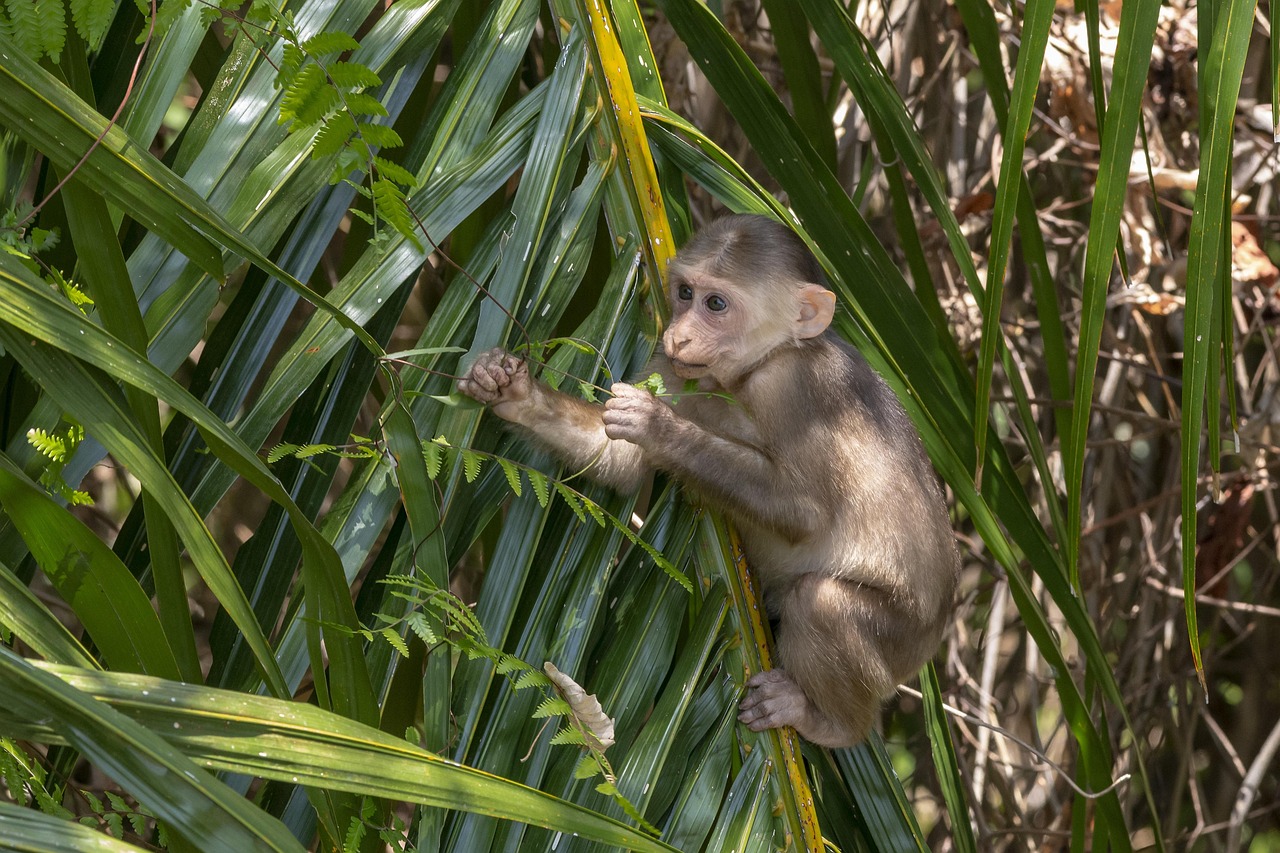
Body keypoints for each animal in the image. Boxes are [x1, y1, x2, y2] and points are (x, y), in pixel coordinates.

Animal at [455, 212, 957, 742]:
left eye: (716, 304)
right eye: (684, 293)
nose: (678, 335)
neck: (750, 372)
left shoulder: (796, 387)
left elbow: (806, 513)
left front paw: (659, 426)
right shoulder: (678, 371)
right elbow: (620, 462)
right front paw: (511, 389)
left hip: (899, 640)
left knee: (822, 602)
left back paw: (830, 725)